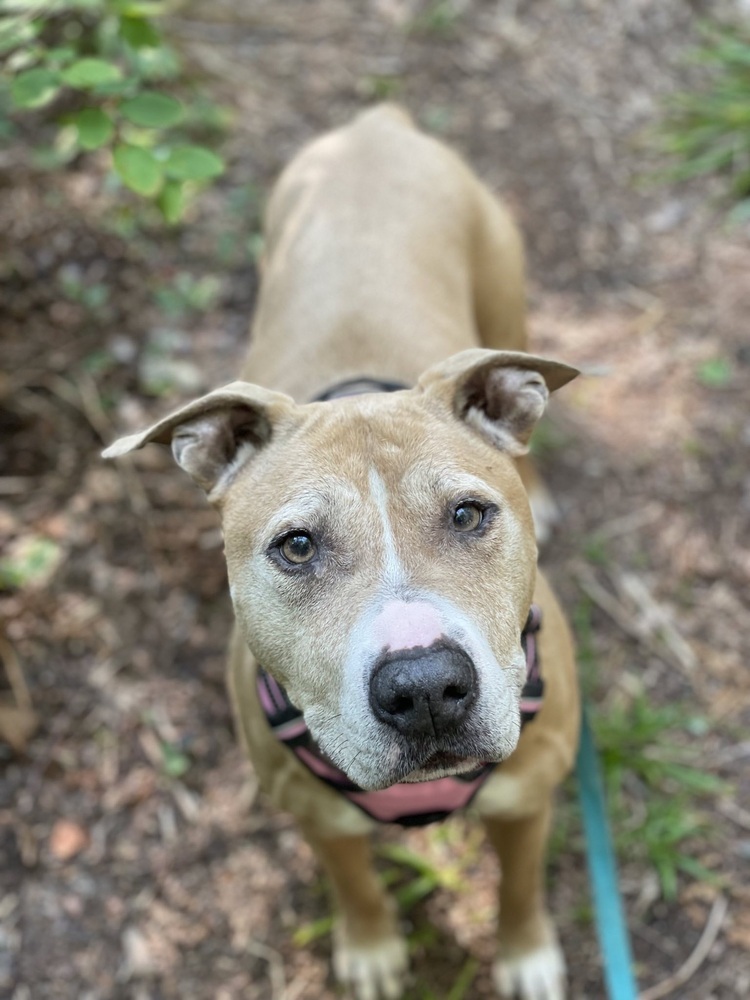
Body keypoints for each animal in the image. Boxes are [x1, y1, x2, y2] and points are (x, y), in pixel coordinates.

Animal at [106, 103, 580, 1000]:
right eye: (297, 547)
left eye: (469, 515)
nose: (425, 688)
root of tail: (376, 125)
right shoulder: (311, 813)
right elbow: (352, 879)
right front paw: (369, 946)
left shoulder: (530, 798)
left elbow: (522, 880)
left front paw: (526, 951)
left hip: (505, 298)